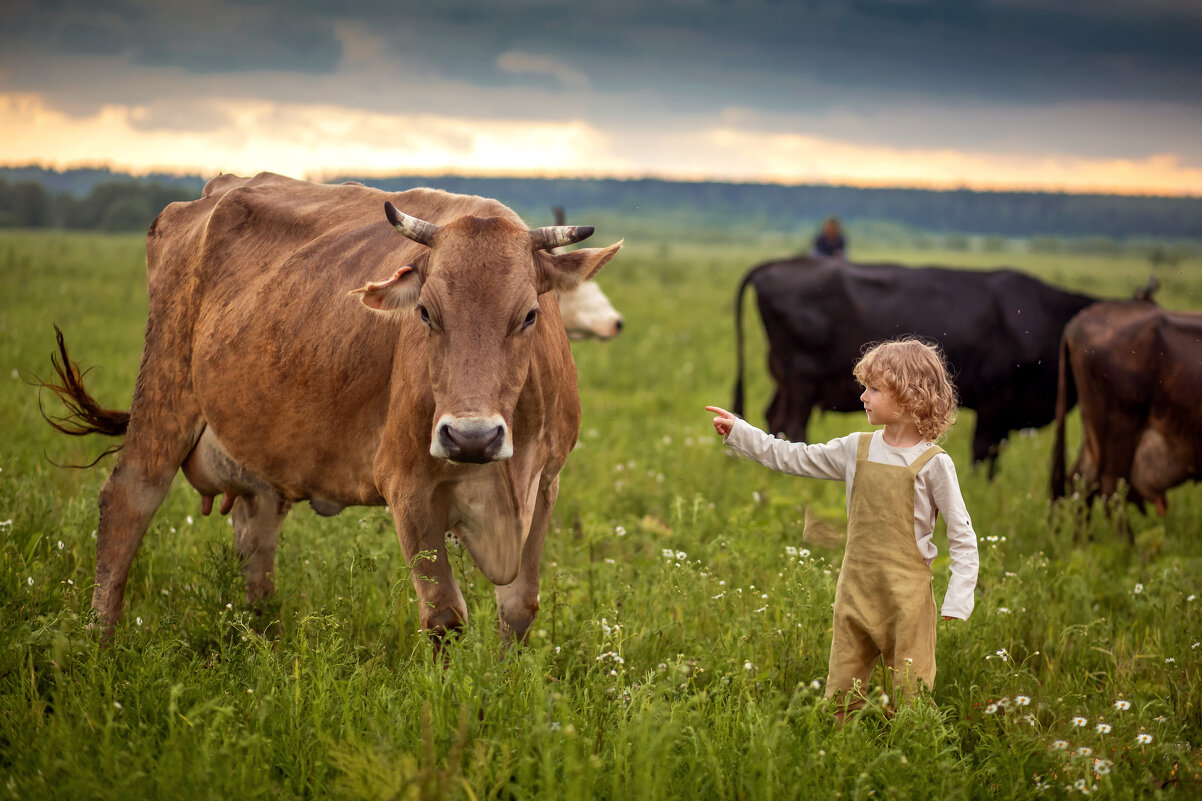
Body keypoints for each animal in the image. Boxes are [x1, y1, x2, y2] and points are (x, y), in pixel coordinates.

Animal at [42, 171, 625, 639]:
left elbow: (519, 610)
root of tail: (212, 193)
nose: (472, 437)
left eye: (529, 314)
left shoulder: (543, 486)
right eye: (426, 313)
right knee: (129, 500)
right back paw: (100, 641)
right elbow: (445, 616)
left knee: (256, 544)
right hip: (163, 399)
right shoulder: (407, 487)